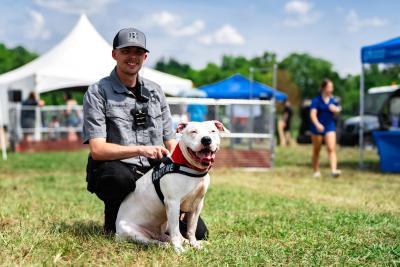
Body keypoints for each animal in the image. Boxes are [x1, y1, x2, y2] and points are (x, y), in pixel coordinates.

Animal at [114, 120, 230, 252]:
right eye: (193, 131)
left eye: (213, 131)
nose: (206, 139)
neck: (191, 167)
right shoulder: (173, 203)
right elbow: (175, 231)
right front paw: (178, 249)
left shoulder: (197, 204)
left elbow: (191, 228)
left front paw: (195, 244)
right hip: (131, 231)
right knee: (151, 240)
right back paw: (164, 245)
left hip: (165, 223)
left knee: (168, 235)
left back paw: (186, 242)